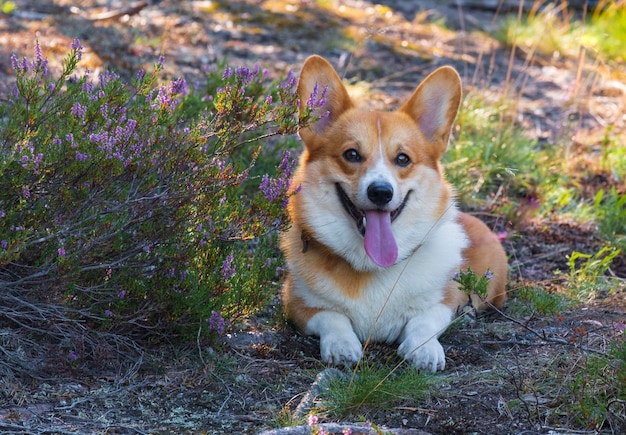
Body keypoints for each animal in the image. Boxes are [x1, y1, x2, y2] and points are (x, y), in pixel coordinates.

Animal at [280, 56, 504, 372]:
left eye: (403, 159)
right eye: (351, 154)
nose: (381, 192)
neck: (372, 267)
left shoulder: (442, 301)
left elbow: (424, 321)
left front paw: (424, 350)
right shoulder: (297, 302)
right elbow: (332, 317)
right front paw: (342, 345)